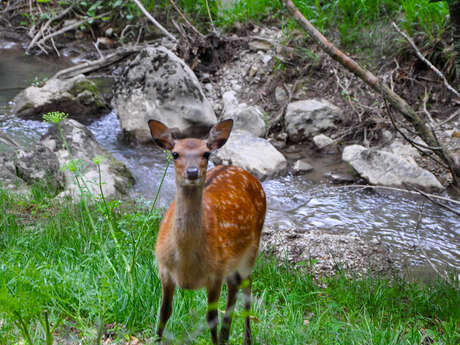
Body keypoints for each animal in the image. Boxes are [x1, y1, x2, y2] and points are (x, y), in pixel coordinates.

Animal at [148, 119, 266, 344]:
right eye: (175, 153)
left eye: (206, 153)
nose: (193, 172)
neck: (186, 263)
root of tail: (243, 171)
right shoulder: (164, 270)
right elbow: (164, 313)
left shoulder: (215, 273)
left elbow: (211, 317)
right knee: (235, 286)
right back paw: (226, 336)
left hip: (251, 250)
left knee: (246, 285)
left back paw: (246, 338)